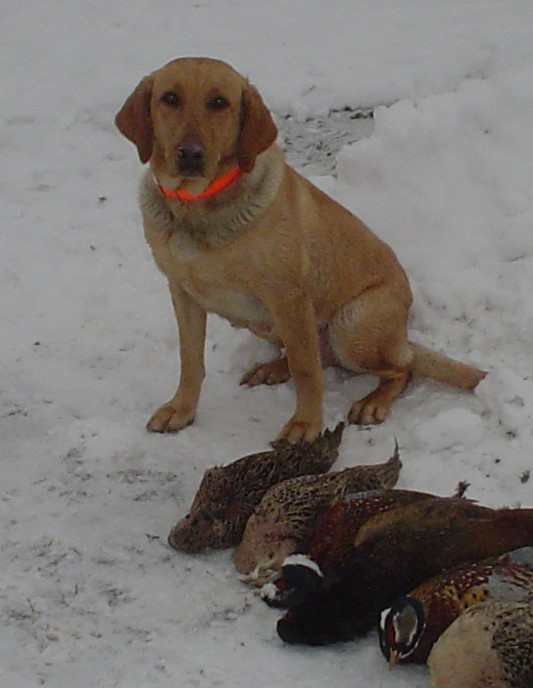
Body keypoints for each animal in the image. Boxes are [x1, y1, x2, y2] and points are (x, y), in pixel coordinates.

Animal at [116, 56, 486, 444]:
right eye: (170, 98)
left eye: (219, 102)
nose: (190, 154)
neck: (196, 205)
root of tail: (403, 337)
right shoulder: (182, 292)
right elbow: (190, 361)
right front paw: (182, 408)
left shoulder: (288, 297)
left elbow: (307, 372)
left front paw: (306, 424)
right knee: (319, 358)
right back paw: (273, 368)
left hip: (351, 325)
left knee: (401, 368)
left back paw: (373, 401)